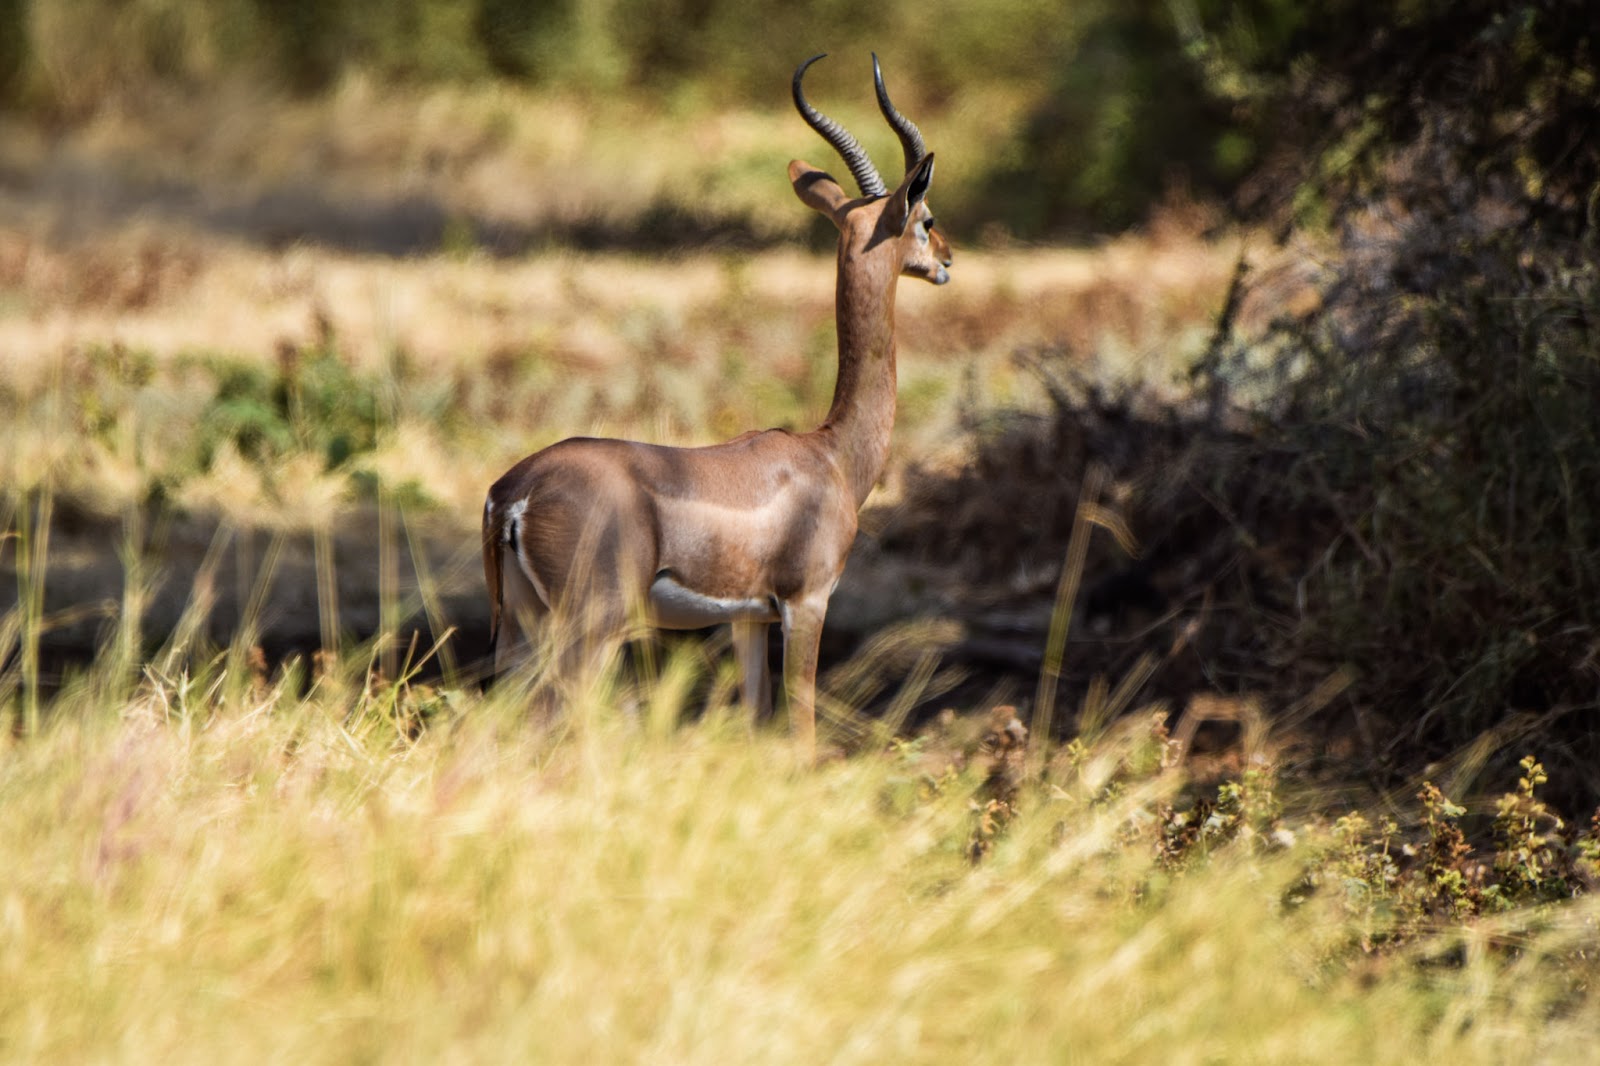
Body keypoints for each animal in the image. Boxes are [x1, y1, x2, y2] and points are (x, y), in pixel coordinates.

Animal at [482, 53, 951, 758]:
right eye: (924, 217)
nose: (947, 259)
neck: (831, 454)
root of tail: (514, 493)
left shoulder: (749, 619)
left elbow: (757, 721)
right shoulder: (807, 603)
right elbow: (800, 730)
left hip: (517, 628)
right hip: (589, 631)